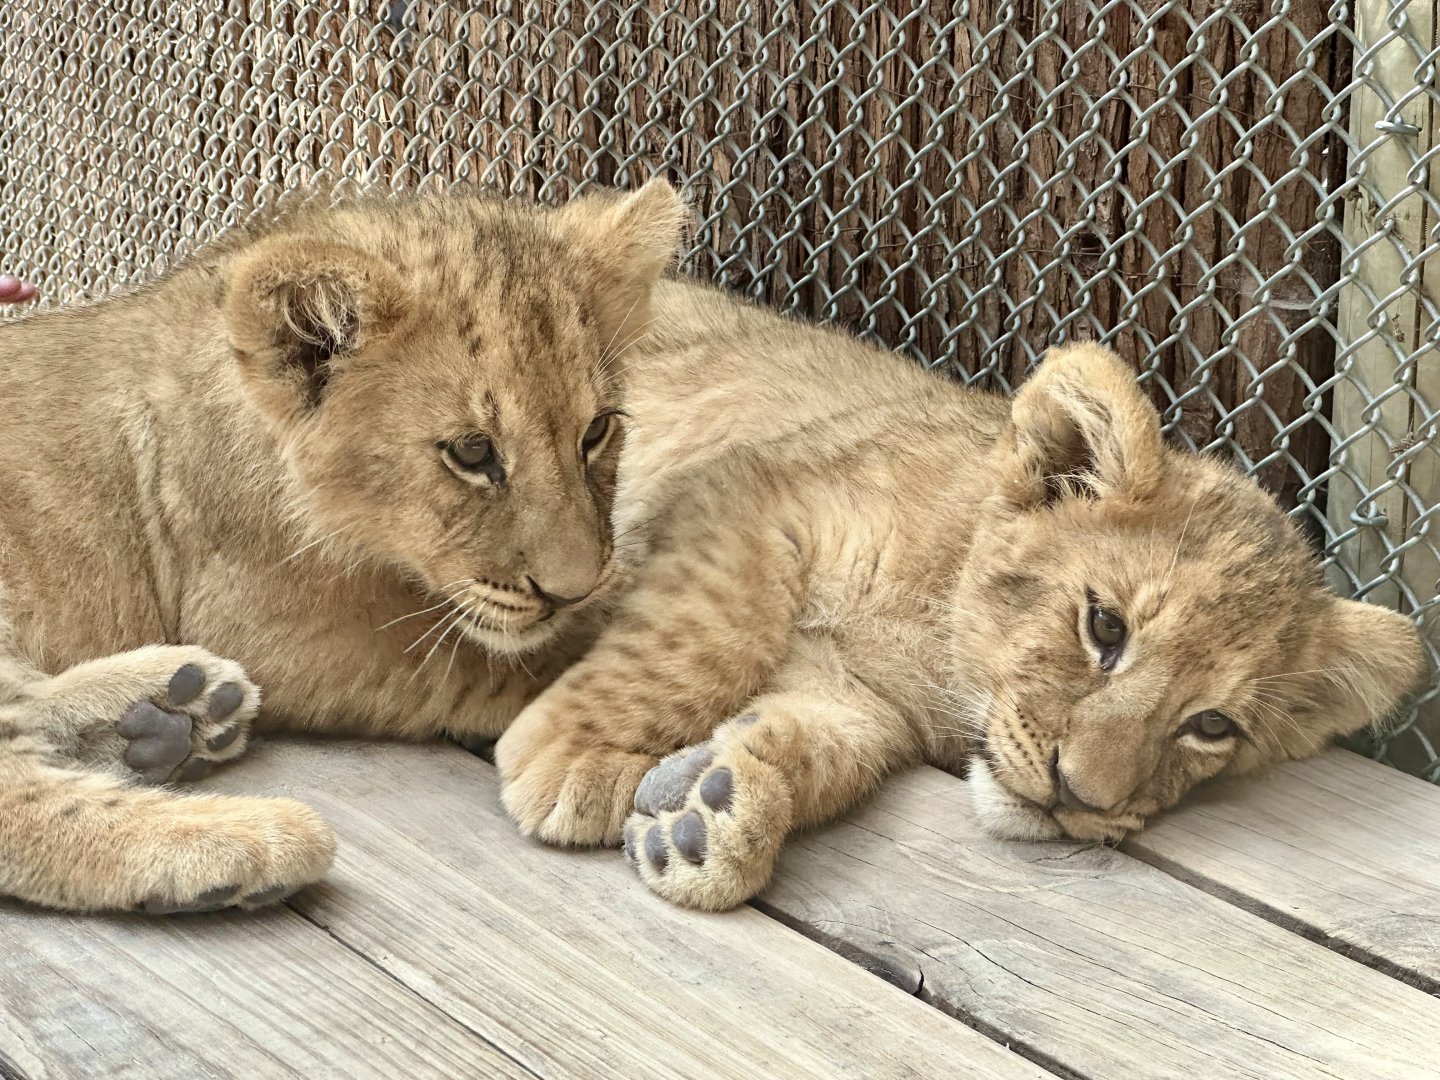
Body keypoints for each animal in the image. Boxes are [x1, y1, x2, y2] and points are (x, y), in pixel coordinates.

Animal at [0, 180, 685, 913]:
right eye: (474, 452)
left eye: (597, 432)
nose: (572, 589)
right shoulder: (271, 624)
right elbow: (516, 659)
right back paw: (242, 842)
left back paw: (171, 711)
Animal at [496, 279, 1427, 912]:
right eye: (1104, 626)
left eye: (1212, 727)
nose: (1075, 798)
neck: (938, 637)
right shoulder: (747, 494)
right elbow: (700, 639)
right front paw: (572, 756)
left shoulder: (859, 695)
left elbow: (827, 749)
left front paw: (710, 812)